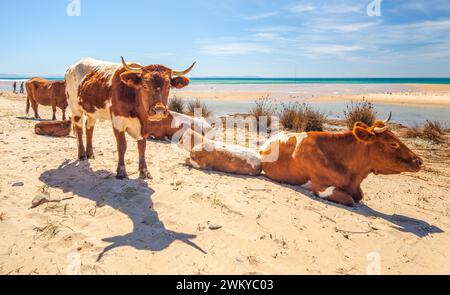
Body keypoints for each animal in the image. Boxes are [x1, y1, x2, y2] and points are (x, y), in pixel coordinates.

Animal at [65, 56, 195, 179]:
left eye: (168, 86)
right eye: (144, 85)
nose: (159, 110)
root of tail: (72, 67)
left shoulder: (144, 126)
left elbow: (142, 146)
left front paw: (144, 171)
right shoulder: (117, 121)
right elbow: (122, 145)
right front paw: (121, 171)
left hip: (92, 111)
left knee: (89, 129)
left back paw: (90, 154)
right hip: (75, 106)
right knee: (79, 130)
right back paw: (82, 155)